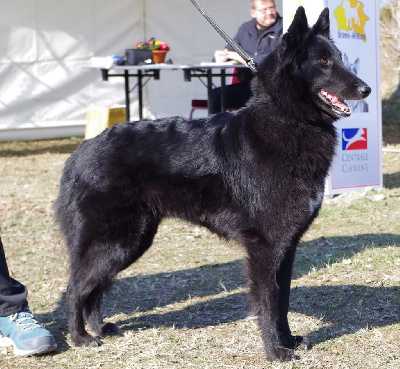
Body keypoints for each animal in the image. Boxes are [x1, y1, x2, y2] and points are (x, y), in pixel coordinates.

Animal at [54, 7, 370, 360]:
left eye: (341, 58)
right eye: (324, 61)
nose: (366, 90)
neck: (288, 121)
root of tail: (80, 152)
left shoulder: (287, 245)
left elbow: (283, 300)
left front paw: (288, 341)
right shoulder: (265, 247)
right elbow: (269, 302)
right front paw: (275, 352)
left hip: (131, 243)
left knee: (93, 288)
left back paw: (98, 328)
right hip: (116, 242)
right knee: (75, 288)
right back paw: (79, 338)